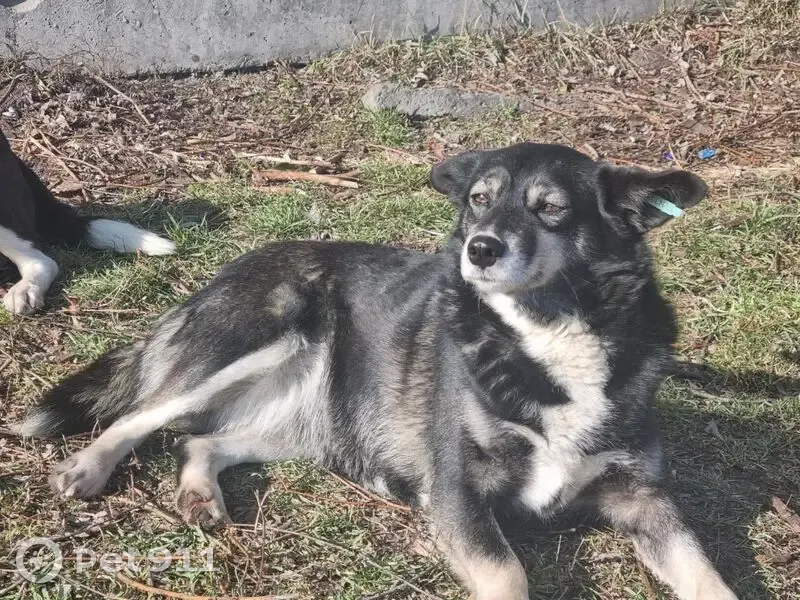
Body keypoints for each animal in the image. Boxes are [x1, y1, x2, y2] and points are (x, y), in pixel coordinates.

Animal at [17, 143, 738, 600]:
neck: (544, 338)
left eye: (552, 207)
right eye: (478, 201)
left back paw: (199, 495)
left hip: (308, 422)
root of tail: (219, 276)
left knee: (200, 440)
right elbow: (509, 574)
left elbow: (710, 578)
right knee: (142, 414)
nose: (480, 249)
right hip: (256, 335)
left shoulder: (645, 500)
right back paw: (86, 468)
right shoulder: (457, 493)